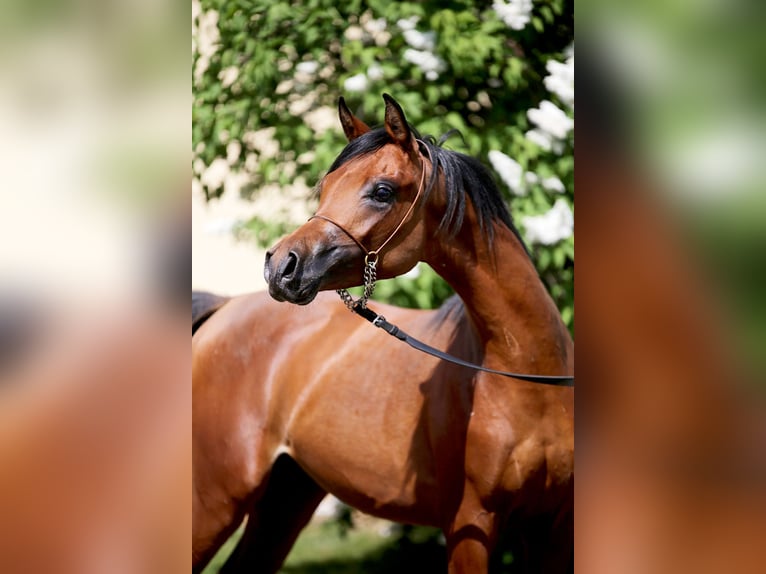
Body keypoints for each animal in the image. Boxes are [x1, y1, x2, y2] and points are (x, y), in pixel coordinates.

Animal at [191, 94, 574, 573]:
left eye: (382, 191)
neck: (529, 375)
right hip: (214, 499)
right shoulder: (470, 523)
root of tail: (225, 308)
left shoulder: (551, 530)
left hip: (286, 496)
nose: (281, 266)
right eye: (325, 187)